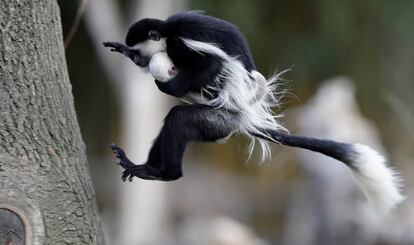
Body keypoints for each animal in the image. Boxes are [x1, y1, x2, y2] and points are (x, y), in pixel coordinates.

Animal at [104, 11, 404, 211]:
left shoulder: (181, 44)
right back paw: (145, 166)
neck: (167, 33)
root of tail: (243, 119)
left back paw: (164, 172)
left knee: (178, 120)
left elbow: (212, 65)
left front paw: (167, 86)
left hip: (216, 121)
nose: (138, 59)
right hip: (217, 124)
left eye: (140, 50)